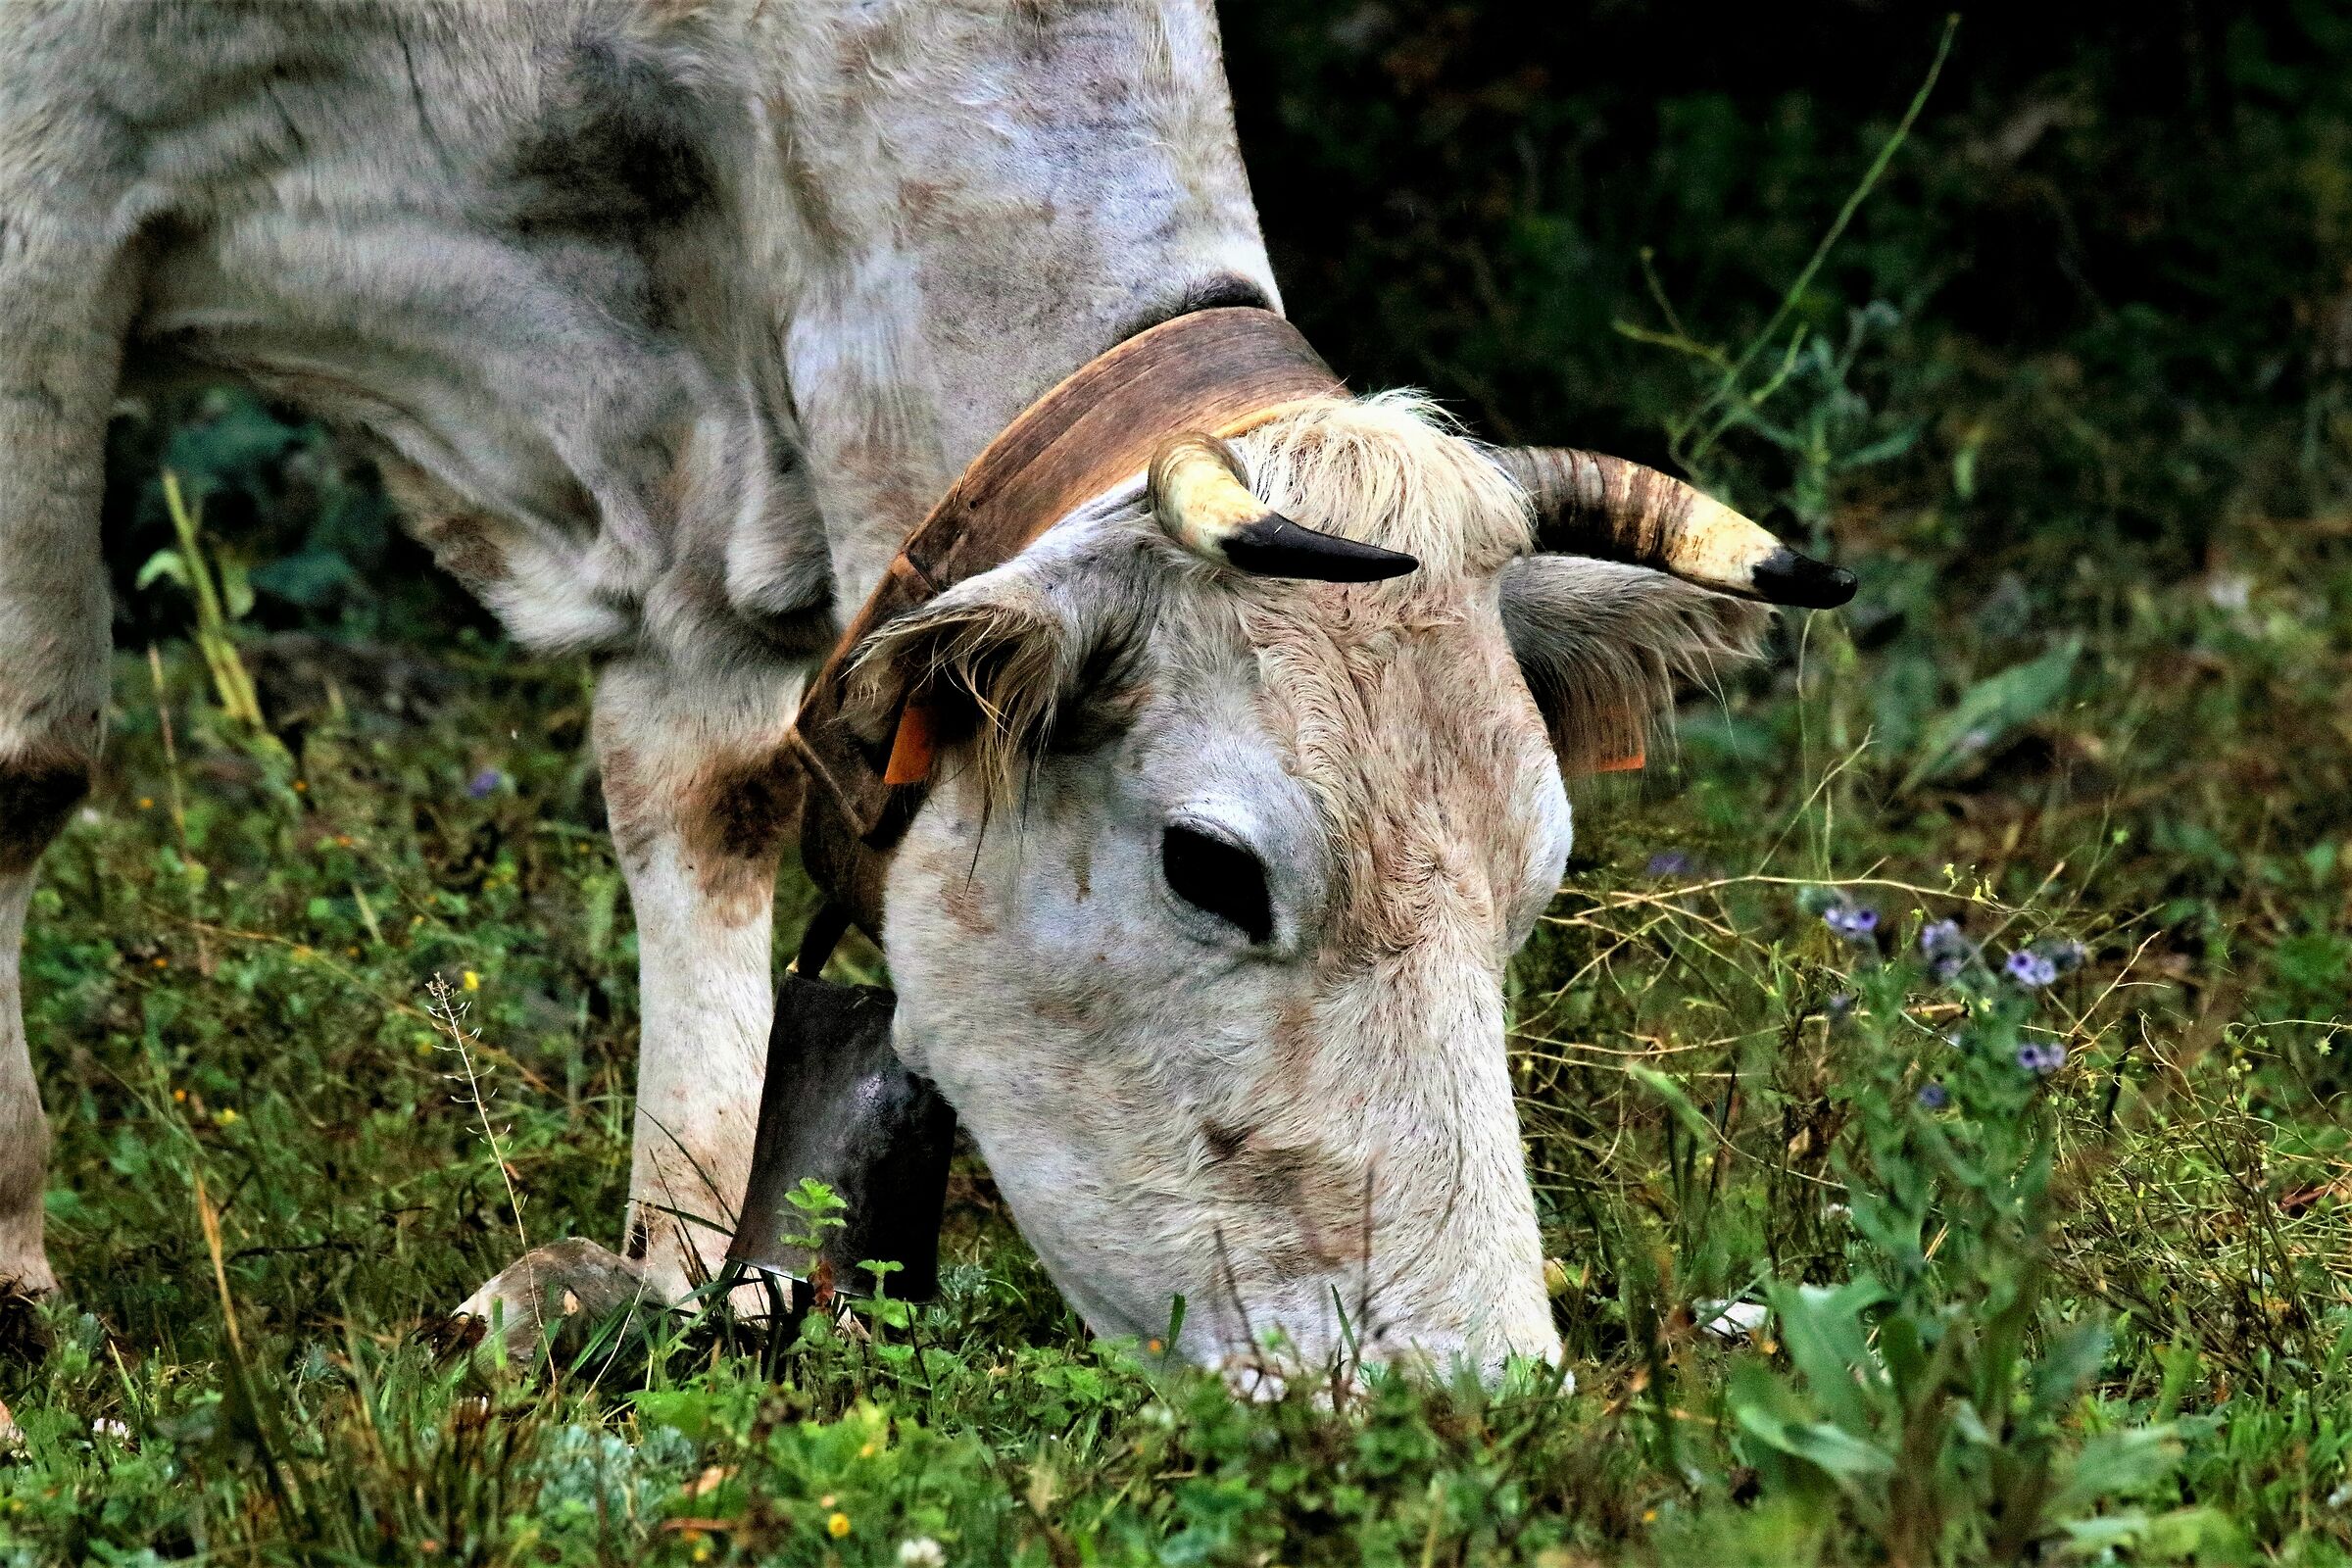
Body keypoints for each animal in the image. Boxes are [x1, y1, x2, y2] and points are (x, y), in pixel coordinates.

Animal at [0, 0, 1848, 1379]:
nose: (1474, 1397)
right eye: (1212, 868)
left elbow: (716, 803)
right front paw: (14, 1305)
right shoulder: (45, 204)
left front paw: (678, 1275)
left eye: (1538, 877)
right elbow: (29, 759)